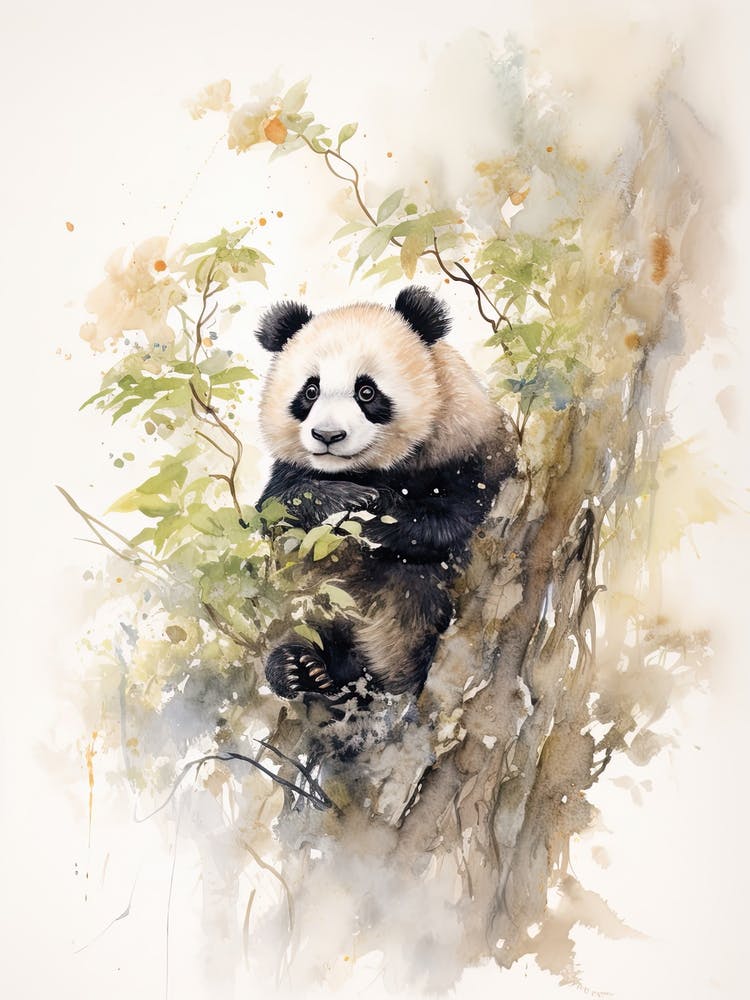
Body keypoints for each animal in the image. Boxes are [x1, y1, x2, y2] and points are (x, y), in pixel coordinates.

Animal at [255, 286, 517, 704]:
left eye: (367, 392)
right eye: (310, 391)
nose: (328, 436)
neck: (373, 468)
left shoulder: (471, 450)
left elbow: (449, 520)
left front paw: (371, 513)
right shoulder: (289, 473)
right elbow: (275, 507)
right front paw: (342, 501)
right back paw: (301, 668)